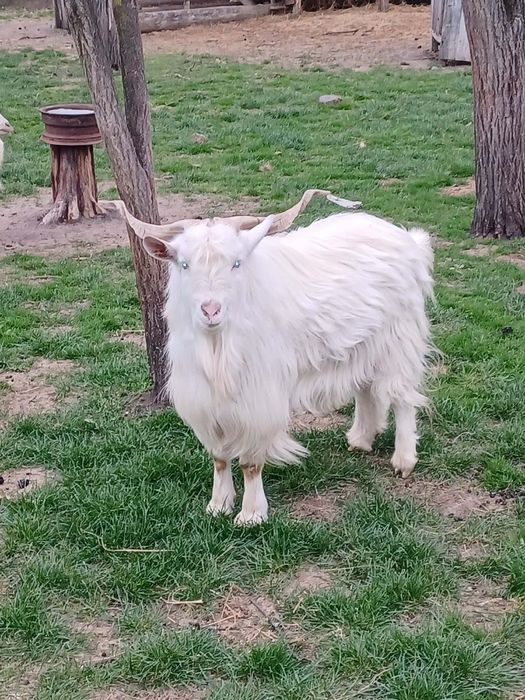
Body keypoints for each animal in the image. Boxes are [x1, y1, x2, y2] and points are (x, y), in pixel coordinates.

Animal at [112, 192, 434, 525]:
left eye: (236, 263)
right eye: (184, 265)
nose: (211, 310)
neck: (217, 347)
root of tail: (408, 240)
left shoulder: (257, 401)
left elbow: (250, 463)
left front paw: (251, 515)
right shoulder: (203, 399)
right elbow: (219, 457)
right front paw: (218, 506)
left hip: (399, 340)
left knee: (402, 397)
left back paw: (404, 460)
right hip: (361, 345)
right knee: (365, 388)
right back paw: (360, 439)